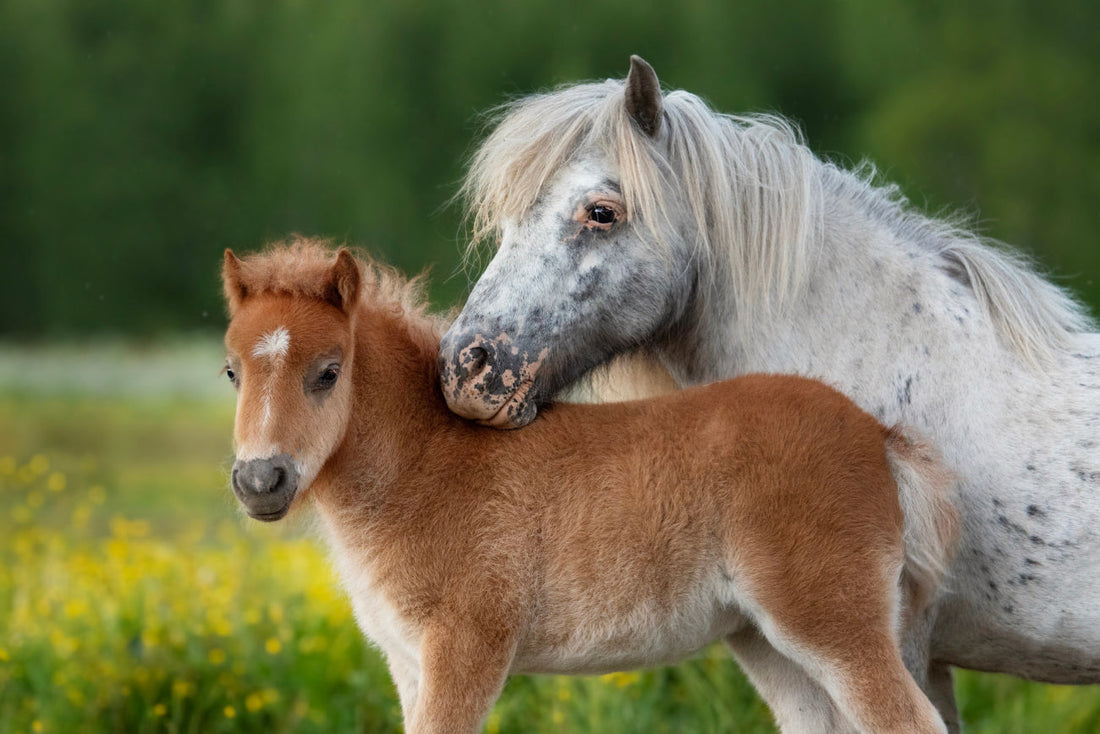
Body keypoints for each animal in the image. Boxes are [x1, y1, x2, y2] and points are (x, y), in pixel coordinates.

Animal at [222, 238, 959, 734]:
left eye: (328, 371)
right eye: (232, 371)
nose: (261, 480)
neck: (423, 467)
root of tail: (878, 434)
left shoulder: (467, 647)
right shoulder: (407, 662)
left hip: (833, 623)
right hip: (764, 640)